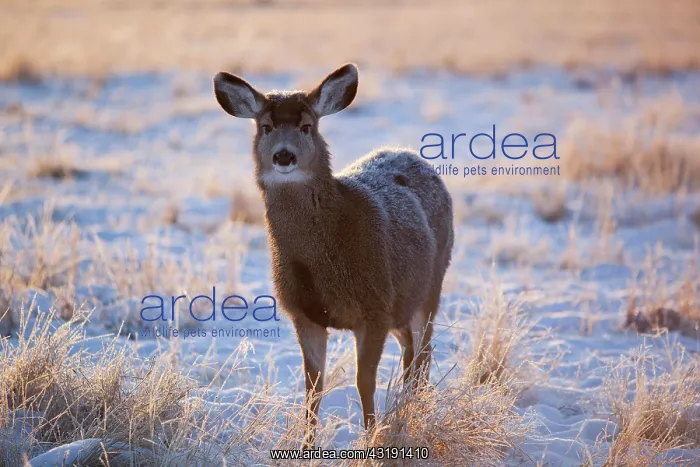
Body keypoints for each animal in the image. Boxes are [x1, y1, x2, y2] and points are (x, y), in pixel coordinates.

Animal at [213, 63, 454, 448]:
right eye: (265, 126)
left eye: (306, 126)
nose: (284, 156)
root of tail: (408, 153)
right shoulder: (303, 313)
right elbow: (313, 387)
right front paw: (307, 446)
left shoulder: (374, 307)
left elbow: (363, 381)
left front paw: (371, 440)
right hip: (403, 303)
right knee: (411, 350)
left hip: (432, 285)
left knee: (423, 353)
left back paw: (415, 409)